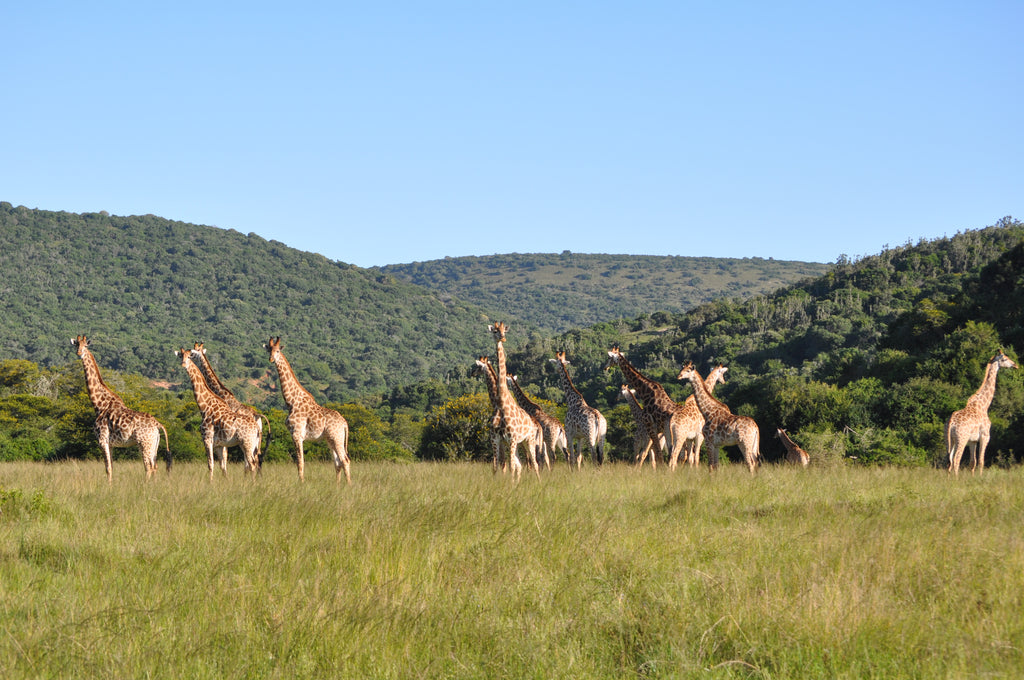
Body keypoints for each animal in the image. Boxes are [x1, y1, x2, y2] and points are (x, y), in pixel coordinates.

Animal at [71, 336, 170, 482]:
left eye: (85, 346)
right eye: (76, 345)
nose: (79, 353)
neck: (99, 404)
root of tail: (158, 424)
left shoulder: (102, 440)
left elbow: (108, 468)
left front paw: (108, 486)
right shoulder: (110, 443)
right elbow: (111, 467)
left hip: (144, 443)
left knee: (148, 467)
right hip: (153, 444)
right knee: (155, 466)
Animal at [177, 349, 262, 478]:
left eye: (189, 357)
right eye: (181, 356)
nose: (183, 365)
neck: (205, 406)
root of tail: (257, 426)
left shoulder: (207, 438)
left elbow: (210, 464)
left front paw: (210, 482)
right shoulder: (219, 444)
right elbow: (222, 465)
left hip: (247, 443)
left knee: (251, 464)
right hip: (251, 444)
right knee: (254, 462)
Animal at [264, 337, 351, 483]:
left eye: (277, 351)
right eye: (269, 350)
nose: (271, 359)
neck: (291, 401)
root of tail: (344, 423)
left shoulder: (297, 434)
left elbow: (300, 462)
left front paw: (301, 483)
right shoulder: (295, 435)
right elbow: (300, 462)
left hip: (336, 437)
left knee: (345, 460)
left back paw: (349, 485)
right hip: (331, 440)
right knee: (337, 462)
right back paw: (338, 485)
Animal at [488, 323, 542, 481]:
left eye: (504, 331)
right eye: (495, 331)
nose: (502, 338)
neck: (501, 404)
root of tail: (533, 423)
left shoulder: (511, 439)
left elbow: (511, 466)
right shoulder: (496, 439)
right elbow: (496, 467)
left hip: (528, 440)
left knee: (534, 464)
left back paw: (539, 482)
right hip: (517, 443)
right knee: (520, 465)